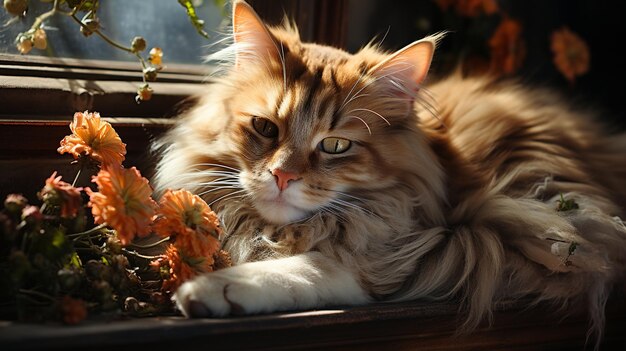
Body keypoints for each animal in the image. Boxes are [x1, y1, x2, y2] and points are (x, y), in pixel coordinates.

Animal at [152, 0, 624, 346]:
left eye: (335, 146)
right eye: (266, 128)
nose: (283, 177)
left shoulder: (424, 250)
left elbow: (306, 268)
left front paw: (213, 290)